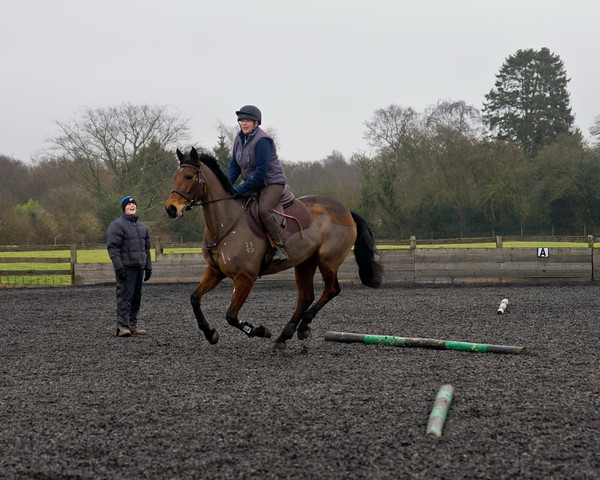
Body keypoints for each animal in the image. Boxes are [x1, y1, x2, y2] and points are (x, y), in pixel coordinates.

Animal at [163, 146, 384, 348]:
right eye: (175, 176)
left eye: (189, 176)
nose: (171, 208)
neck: (225, 224)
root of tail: (346, 211)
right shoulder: (215, 271)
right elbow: (194, 298)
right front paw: (210, 333)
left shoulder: (245, 277)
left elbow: (231, 315)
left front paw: (260, 331)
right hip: (305, 262)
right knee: (306, 296)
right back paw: (285, 335)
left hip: (327, 261)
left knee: (331, 290)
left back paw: (302, 326)